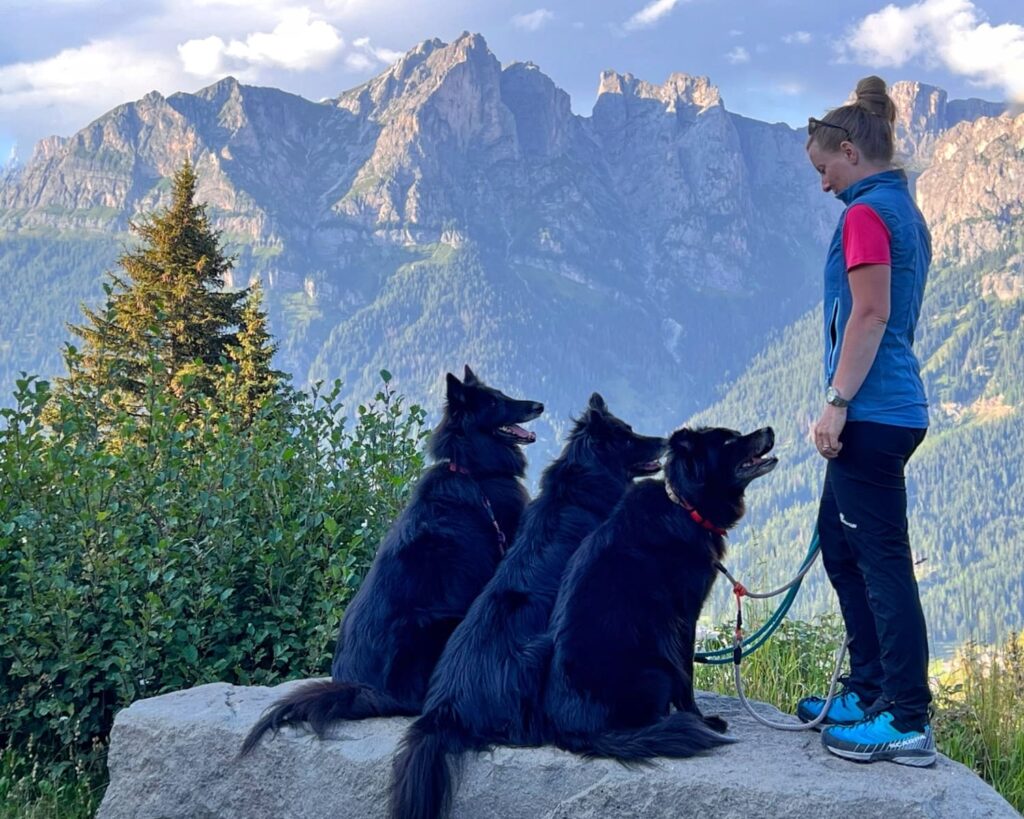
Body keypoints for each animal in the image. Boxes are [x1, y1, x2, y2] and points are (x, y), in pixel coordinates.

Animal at [239, 366, 544, 753]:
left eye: (502, 394)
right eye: (493, 403)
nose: (538, 405)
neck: (471, 471)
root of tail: (364, 689)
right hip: (435, 624)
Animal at [540, 427, 770, 761]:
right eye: (729, 441)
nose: (770, 430)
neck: (685, 506)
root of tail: (581, 732)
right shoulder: (684, 617)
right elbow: (687, 673)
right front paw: (700, 719)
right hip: (658, 671)